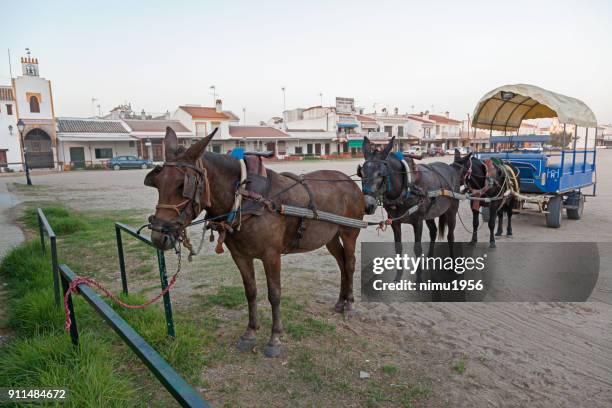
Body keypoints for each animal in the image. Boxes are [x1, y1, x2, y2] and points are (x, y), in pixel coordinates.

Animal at [143, 126, 364, 356]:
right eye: (157, 183)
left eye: (183, 185)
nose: (158, 235)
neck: (245, 199)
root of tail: (348, 181)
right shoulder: (240, 256)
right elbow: (250, 291)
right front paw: (250, 332)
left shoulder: (272, 256)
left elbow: (274, 294)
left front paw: (275, 338)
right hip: (330, 237)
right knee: (341, 263)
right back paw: (340, 302)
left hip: (349, 232)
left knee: (349, 264)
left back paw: (349, 305)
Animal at [358, 137, 460, 280]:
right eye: (361, 173)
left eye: (381, 174)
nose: (368, 205)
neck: (406, 187)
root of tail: (450, 168)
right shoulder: (394, 222)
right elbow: (398, 248)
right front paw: (398, 277)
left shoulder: (418, 222)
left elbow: (417, 249)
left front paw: (418, 278)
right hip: (430, 214)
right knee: (433, 231)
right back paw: (430, 257)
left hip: (451, 211)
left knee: (451, 236)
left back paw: (452, 265)